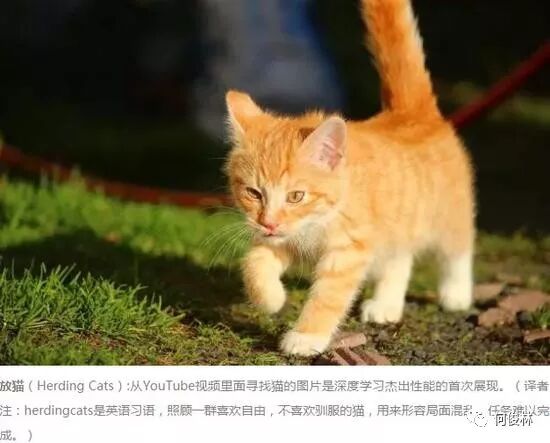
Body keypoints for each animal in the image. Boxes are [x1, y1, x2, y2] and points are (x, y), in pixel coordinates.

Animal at [224, 0, 475, 356]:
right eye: (254, 193)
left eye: (296, 196)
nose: (269, 222)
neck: (320, 220)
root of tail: (412, 113)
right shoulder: (282, 237)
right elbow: (255, 260)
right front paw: (271, 298)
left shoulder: (348, 251)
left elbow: (328, 296)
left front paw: (307, 336)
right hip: (398, 222)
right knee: (400, 259)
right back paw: (386, 304)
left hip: (448, 213)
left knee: (458, 248)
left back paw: (456, 293)